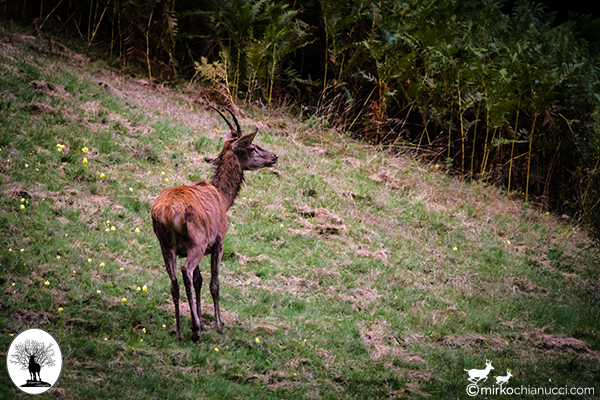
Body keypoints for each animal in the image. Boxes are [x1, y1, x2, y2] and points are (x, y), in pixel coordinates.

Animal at [152, 106, 278, 340]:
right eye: (253, 147)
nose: (274, 156)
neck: (224, 198)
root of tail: (166, 213)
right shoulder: (218, 241)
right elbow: (214, 283)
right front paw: (218, 324)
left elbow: (200, 281)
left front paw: (202, 318)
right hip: (197, 241)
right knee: (186, 272)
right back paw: (194, 331)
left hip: (165, 244)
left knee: (174, 282)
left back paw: (180, 331)